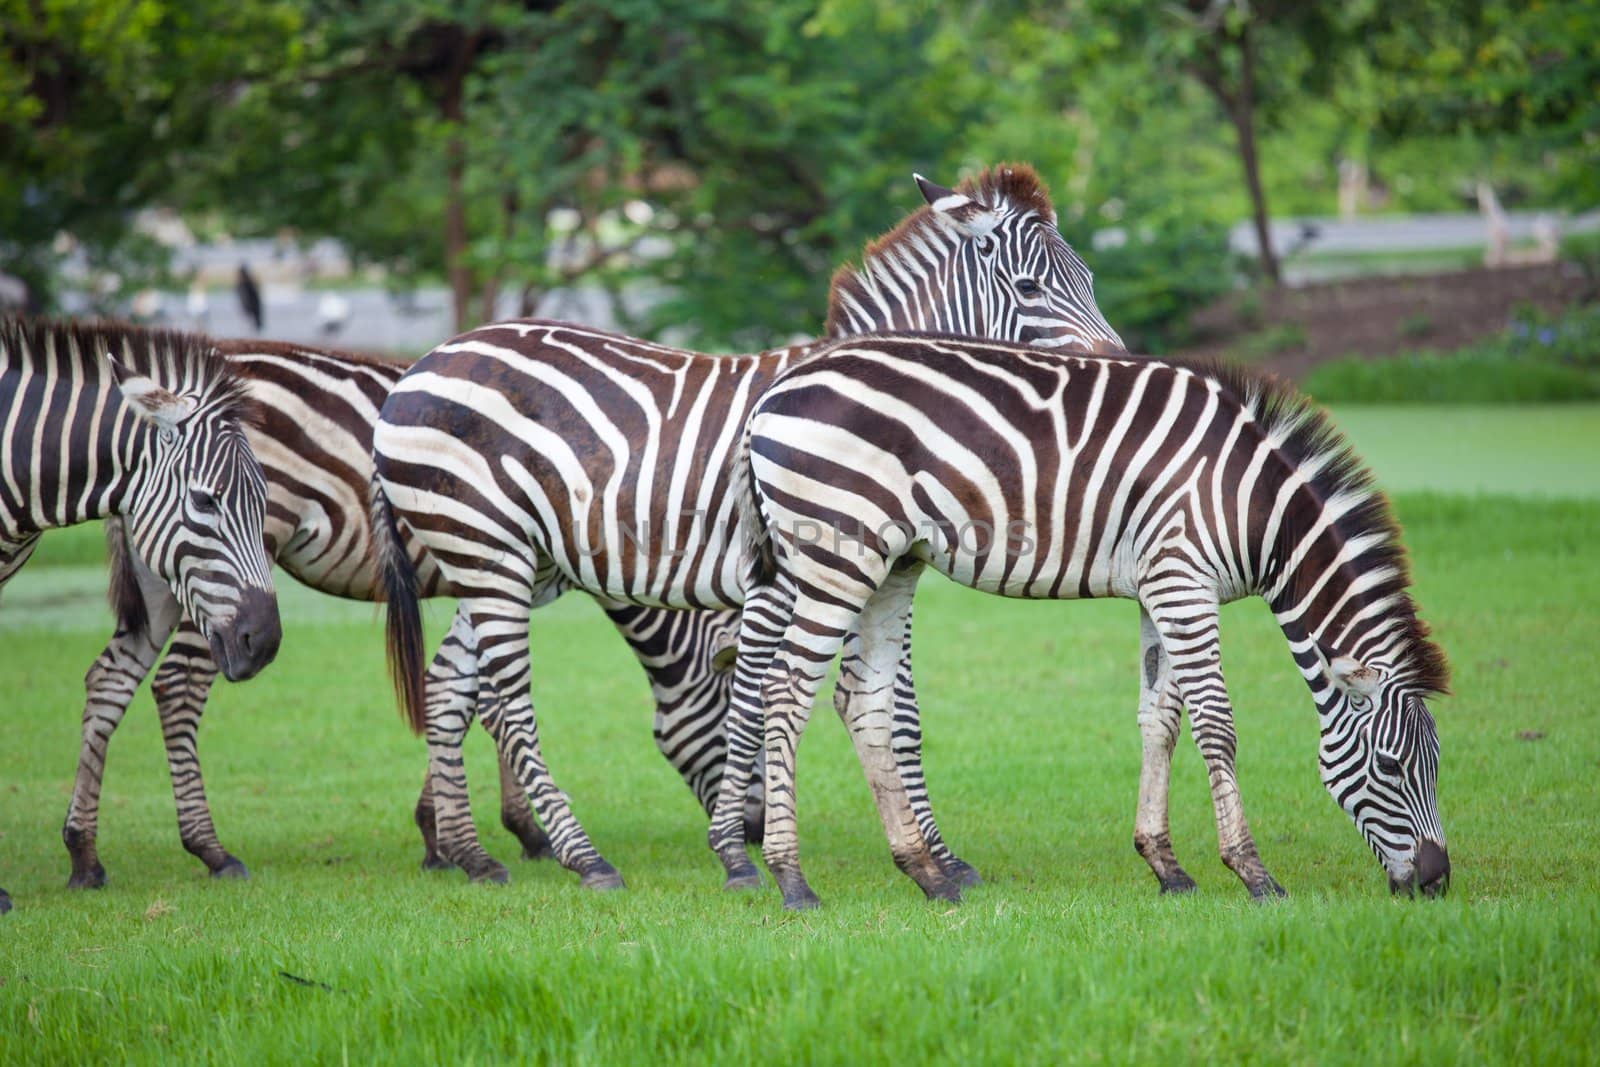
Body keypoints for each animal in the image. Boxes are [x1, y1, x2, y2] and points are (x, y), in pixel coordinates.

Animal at [374, 160, 1126, 895]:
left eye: (1091, 279)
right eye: (1030, 287)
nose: (1117, 367)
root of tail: (423, 363)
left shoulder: (875, 568)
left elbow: (894, 711)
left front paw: (939, 857)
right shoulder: (786, 579)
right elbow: (761, 704)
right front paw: (742, 858)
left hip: (503, 563)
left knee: (449, 685)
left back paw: (470, 854)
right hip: (488, 551)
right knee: (509, 701)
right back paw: (583, 858)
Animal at [732, 334, 1459, 908]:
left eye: (1437, 765)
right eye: (1391, 765)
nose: (1436, 881)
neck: (1253, 508)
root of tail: (775, 390)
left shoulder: (1161, 589)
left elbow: (1160, 721)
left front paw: (1166, 866)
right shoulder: (1181, 580)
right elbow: (1216, 725)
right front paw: (1254, 874)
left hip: (893, 562)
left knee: (862, 701)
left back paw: (927, 875)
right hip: (837, 552)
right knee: (785, 691)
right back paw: (792, 880)